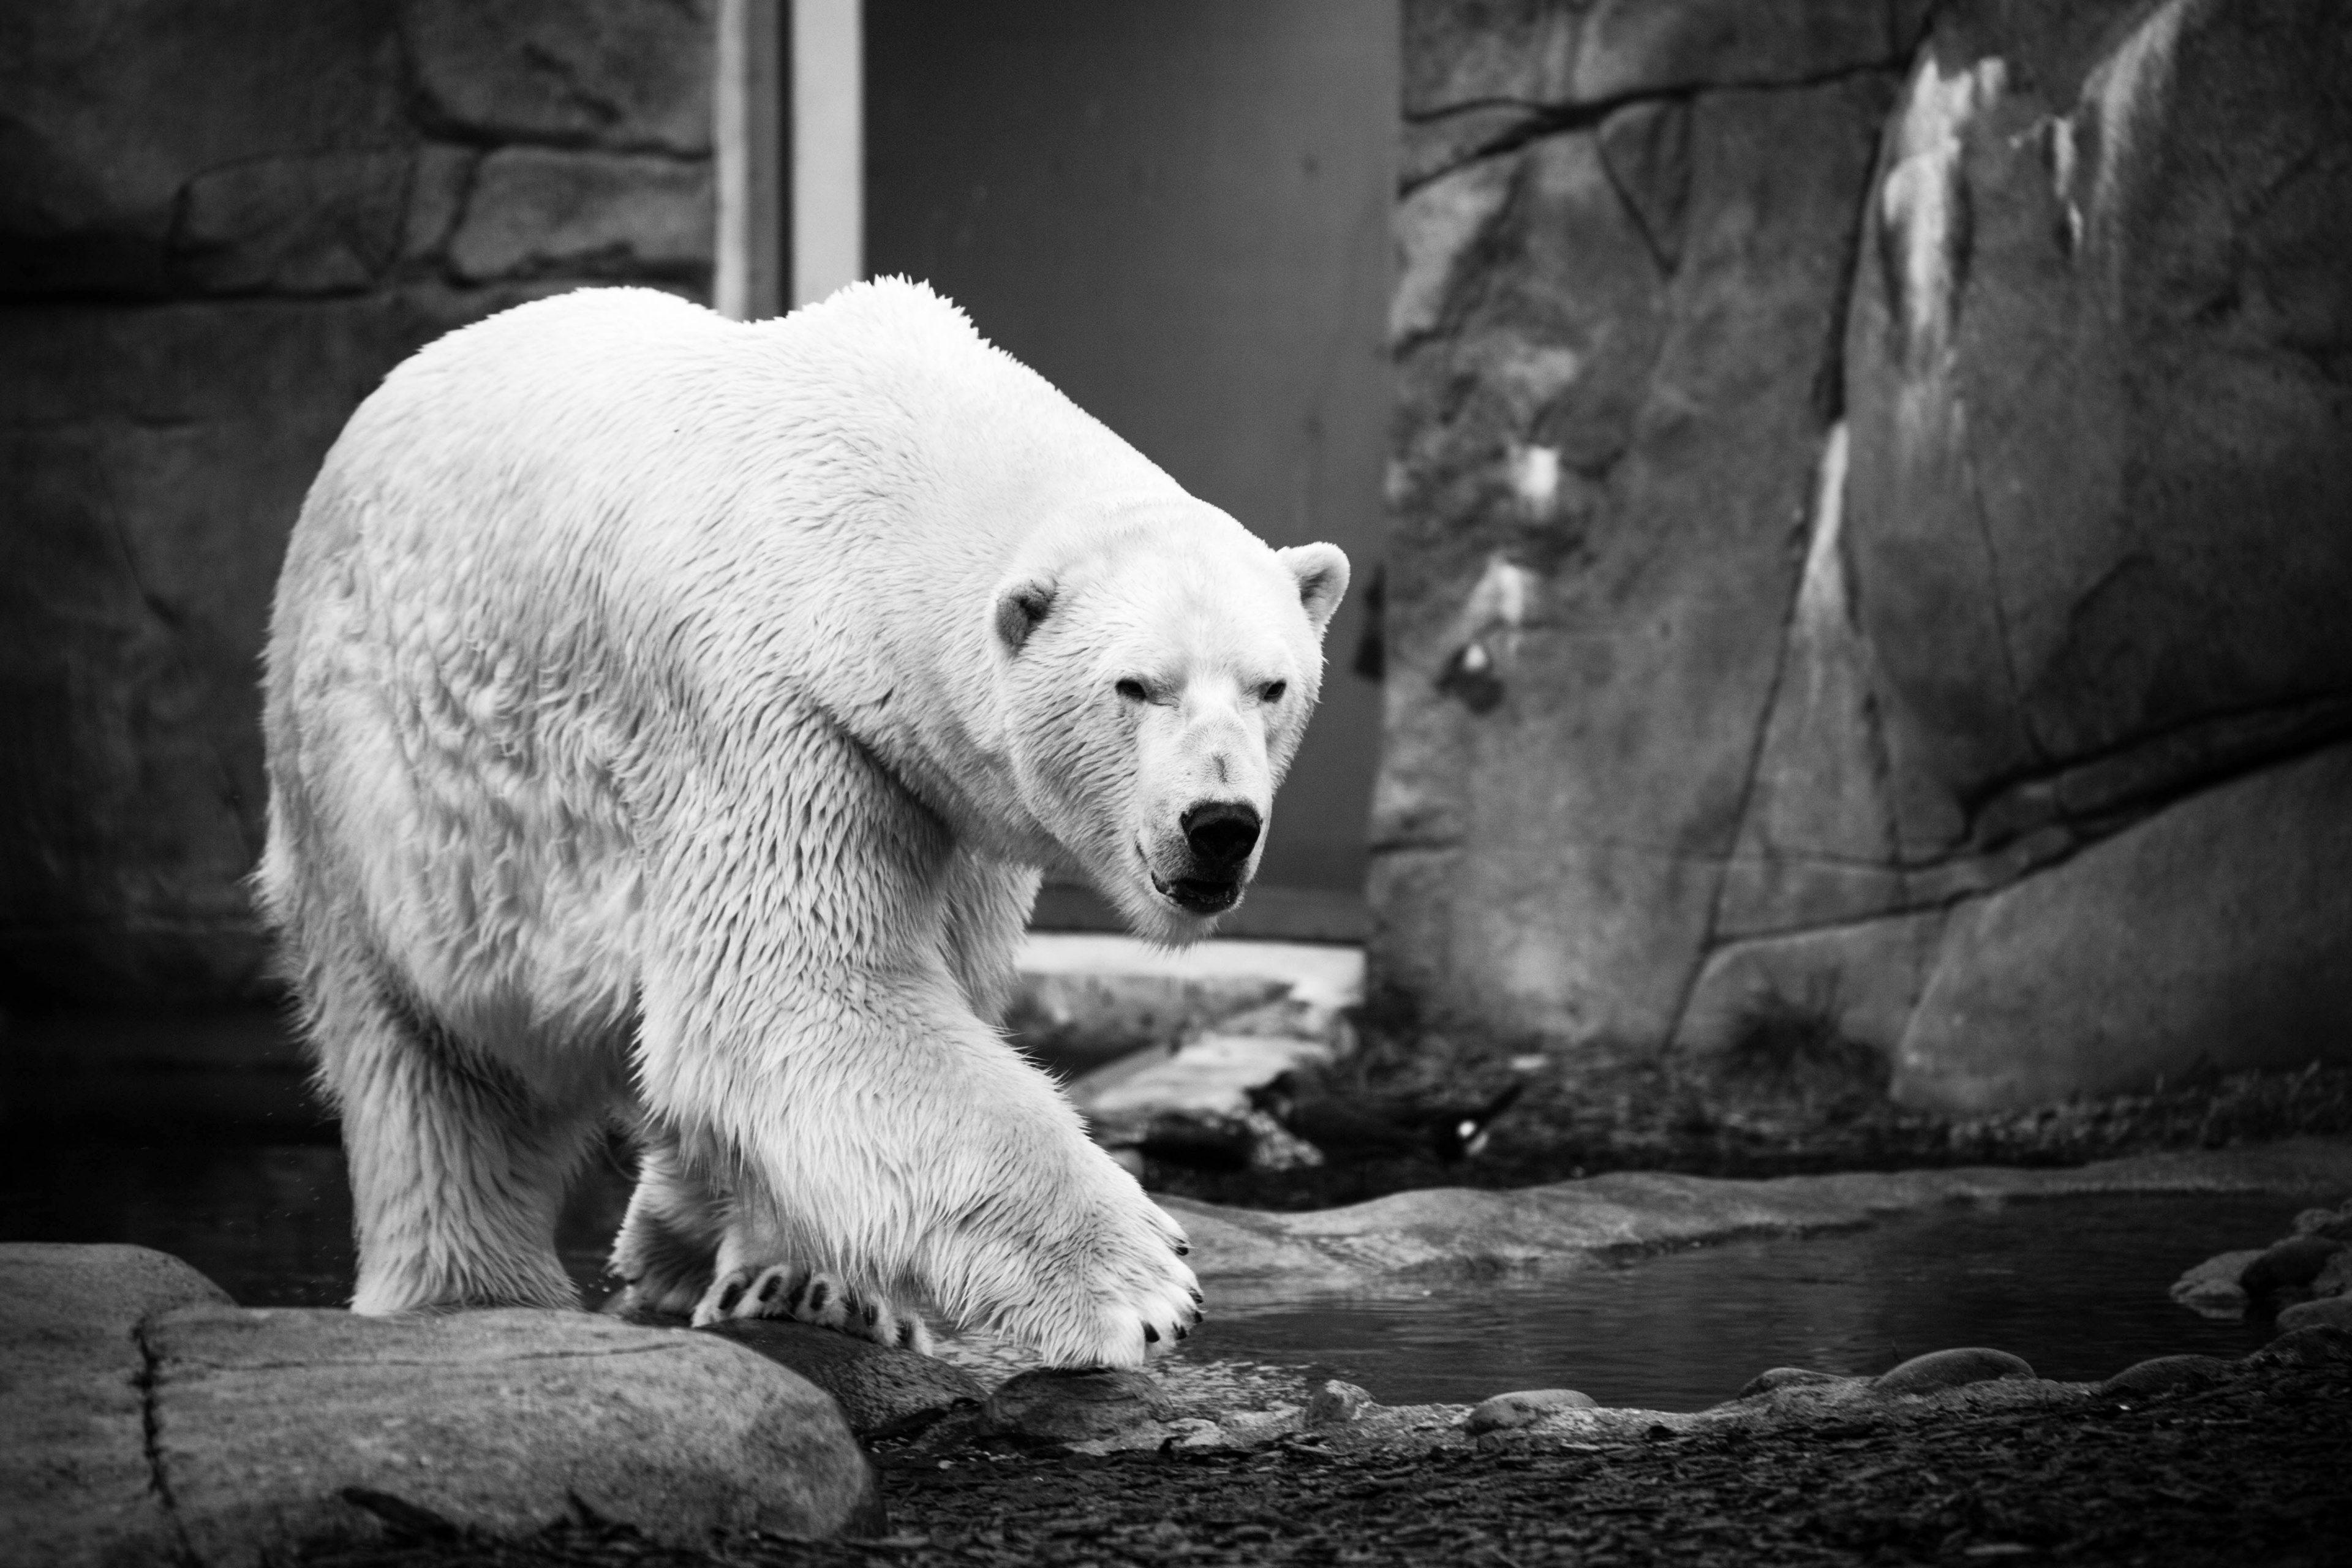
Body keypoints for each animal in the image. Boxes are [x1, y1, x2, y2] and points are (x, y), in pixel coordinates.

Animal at [256, 279, 1349, 1367]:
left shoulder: (941, 795)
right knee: (431, 1059)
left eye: (1270, 687)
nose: (1219, 824)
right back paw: (478, 1292)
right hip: (381, 776)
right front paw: (1139, 1284)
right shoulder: (778, 716)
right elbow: (803, 991)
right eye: (1135, 686)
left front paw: (814, 1279)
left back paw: (694, 1246)